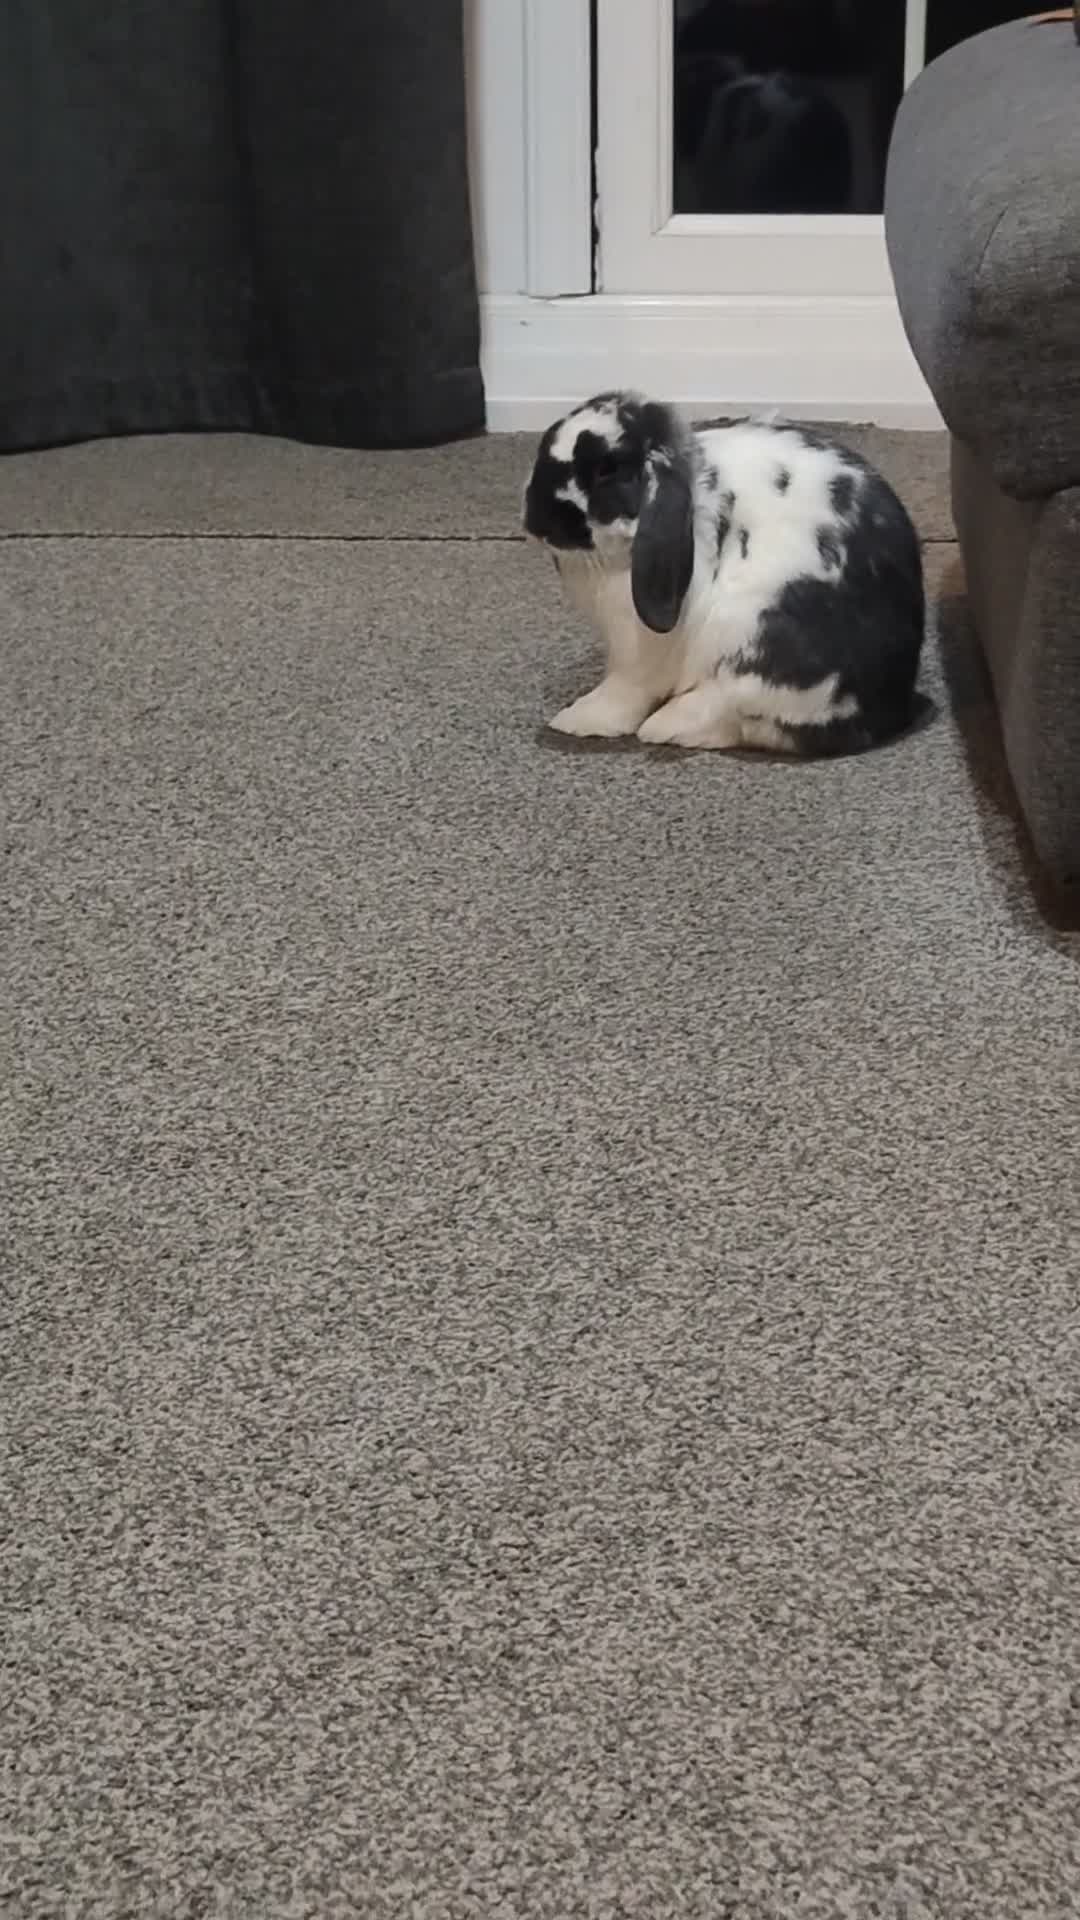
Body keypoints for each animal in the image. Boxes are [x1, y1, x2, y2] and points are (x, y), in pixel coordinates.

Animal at [522, 391, 924, 754]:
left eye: (607, 470)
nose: (536, 520)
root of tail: (882, 708)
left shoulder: (636, 651)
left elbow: (625, 691)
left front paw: (579, 720)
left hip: (751, 642)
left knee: (728, 708)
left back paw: (662, 726)